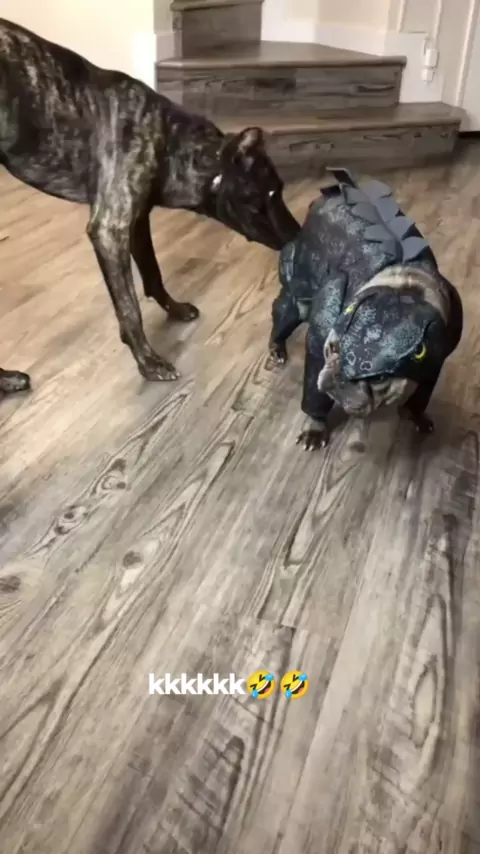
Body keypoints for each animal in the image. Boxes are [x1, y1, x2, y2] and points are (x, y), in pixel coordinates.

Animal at [0, 17, 300, 397]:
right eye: (272, 193)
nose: (299, 234)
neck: (173, 144)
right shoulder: (110, 228)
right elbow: (130, 308)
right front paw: (148, 361)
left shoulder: (137, 220)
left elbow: (153, 272)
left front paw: (173, 309)